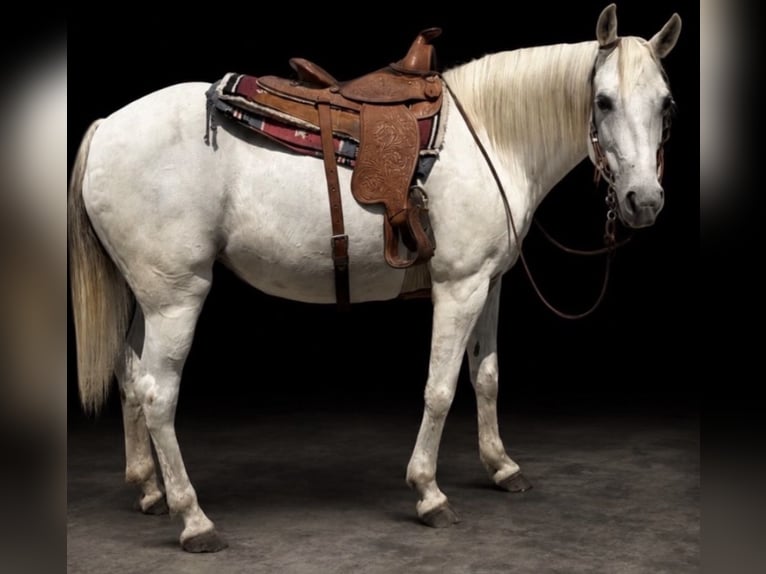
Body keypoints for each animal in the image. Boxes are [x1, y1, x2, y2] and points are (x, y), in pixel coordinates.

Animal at [68, 4, 682, 552]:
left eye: (667, 104)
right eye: (603, 101)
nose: (644, 202)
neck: (492, 135)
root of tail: (105, 127)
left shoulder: (490, 284)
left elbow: (485, 377)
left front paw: (502, 466)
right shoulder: (458, 287)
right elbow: (441, 388)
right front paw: (429, 492)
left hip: (147, 297)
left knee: (129, 373)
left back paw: (151, 490)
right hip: (177, 298)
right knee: (157, 392)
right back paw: (194, 519)